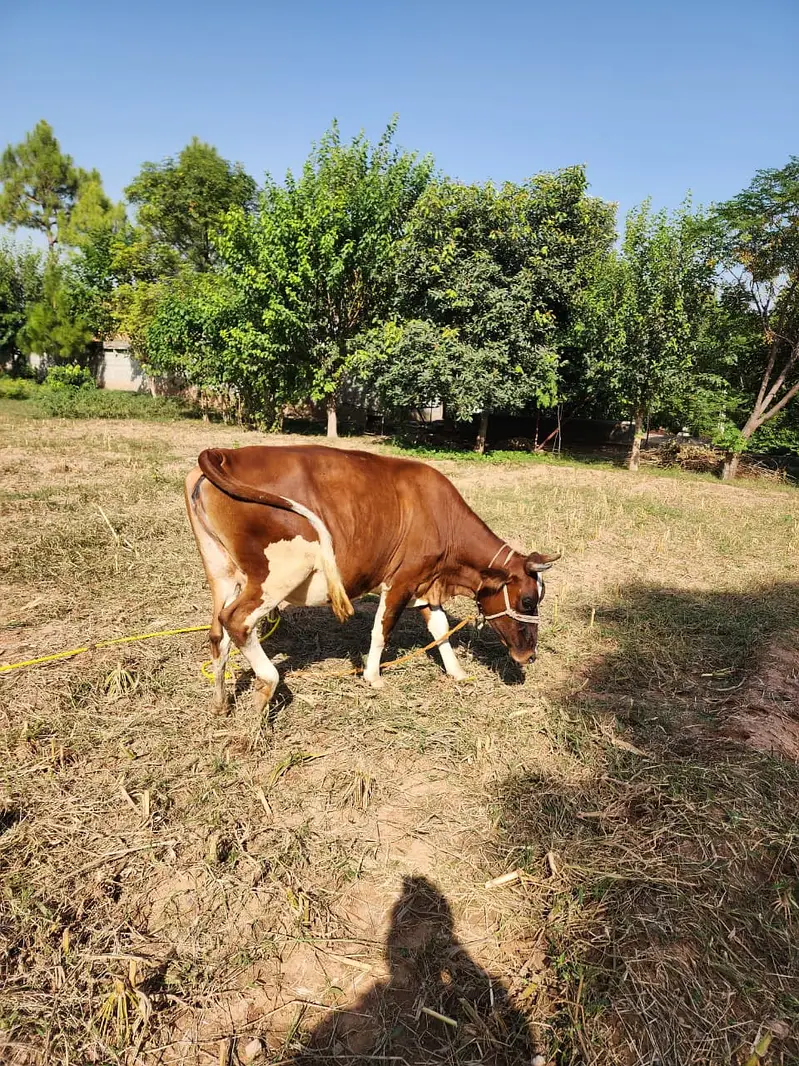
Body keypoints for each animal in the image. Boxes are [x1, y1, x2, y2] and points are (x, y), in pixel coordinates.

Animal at [184, 445, 559, 712]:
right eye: (528, 599)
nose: (530, 655)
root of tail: (225, 453)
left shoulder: (427, 582)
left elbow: (440, 631)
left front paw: (456, 672)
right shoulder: (402, 580)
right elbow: (382, 629)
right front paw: (373, 677)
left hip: (221, 571)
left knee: (217, 632)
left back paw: (220, 704)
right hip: (278, 574)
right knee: (237, 621)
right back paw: (266, 686)